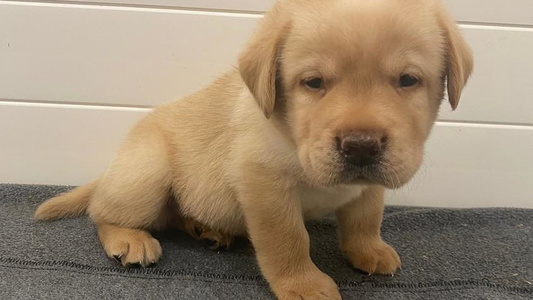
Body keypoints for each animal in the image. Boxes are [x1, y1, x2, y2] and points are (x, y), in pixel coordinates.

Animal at [35, 0, 472, 298]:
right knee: (103, 213)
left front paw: (369, 249)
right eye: (313, 82)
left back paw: (206, 228)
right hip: (147, 169)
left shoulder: (370, 183)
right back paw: (129, 238)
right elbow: (288, 238)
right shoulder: (263, 182)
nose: (361, 147)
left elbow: (366, 216)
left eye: (407, 79)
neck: (293, 139)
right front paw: (303, 284)